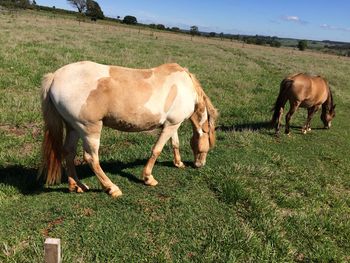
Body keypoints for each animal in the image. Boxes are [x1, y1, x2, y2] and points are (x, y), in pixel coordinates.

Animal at [39, 61, 217, 198]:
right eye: (209, 142)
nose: (200, 164)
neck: (185, 87)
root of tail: (55, 76)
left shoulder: (173, 123)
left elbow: (175, 143)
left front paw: (178, 163)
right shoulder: (172, 124)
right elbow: (157, 149)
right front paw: (148, 178)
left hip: (73, 127)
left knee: (68, 153)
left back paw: (76, 185)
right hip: (89, 129)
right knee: (91, 158)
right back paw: (111, 188)